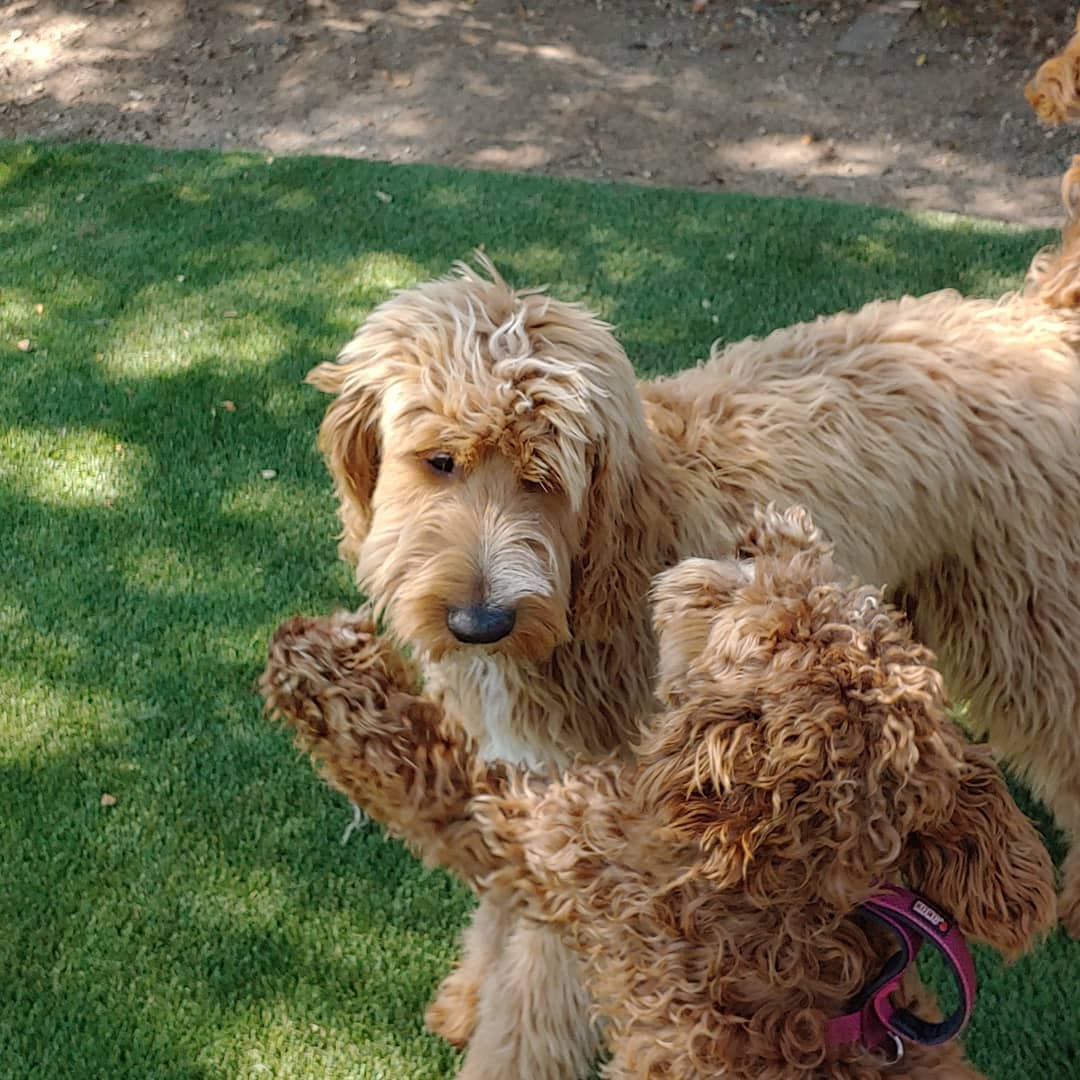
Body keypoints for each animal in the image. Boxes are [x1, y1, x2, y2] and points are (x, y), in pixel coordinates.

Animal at [259, 505, 1054, 1080]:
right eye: (826, 597)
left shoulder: (559, 852)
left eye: (784, 622)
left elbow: (432, 772)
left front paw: (319, 660)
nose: (765, 533)